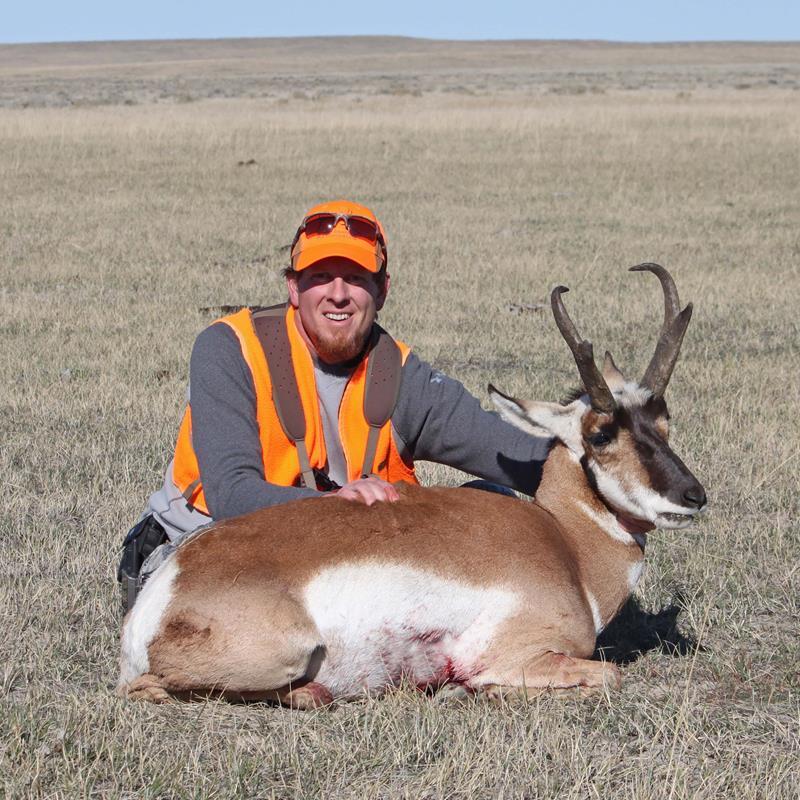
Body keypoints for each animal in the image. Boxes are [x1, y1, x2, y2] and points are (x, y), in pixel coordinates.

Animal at [118, 263, 707, 708]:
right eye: (601, 433)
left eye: (664, 422)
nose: (693, 497)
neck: (566, 545)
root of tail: (164, 588)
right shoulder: (523, 652)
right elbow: (608, 674)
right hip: (289, 649)